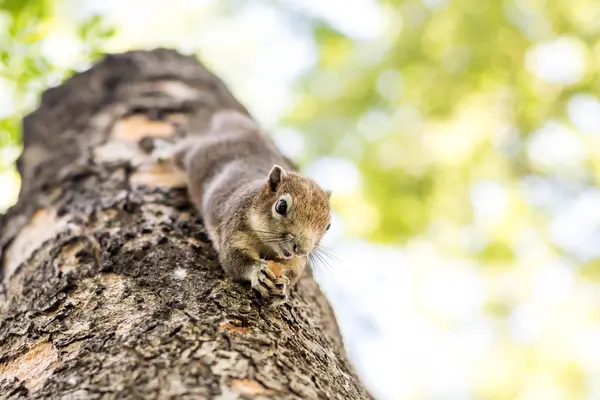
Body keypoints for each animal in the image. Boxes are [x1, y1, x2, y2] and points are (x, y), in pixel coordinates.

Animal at [172, 109, 332, 304]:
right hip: (197, 153)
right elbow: (234, 259)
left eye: (328, 226)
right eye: (281, 206)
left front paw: (284, 286)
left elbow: (294, 271)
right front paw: (258, 271)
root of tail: (243, 132)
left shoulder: (296, 260)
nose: (302, 249)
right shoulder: (234, 229)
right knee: (183, 148)